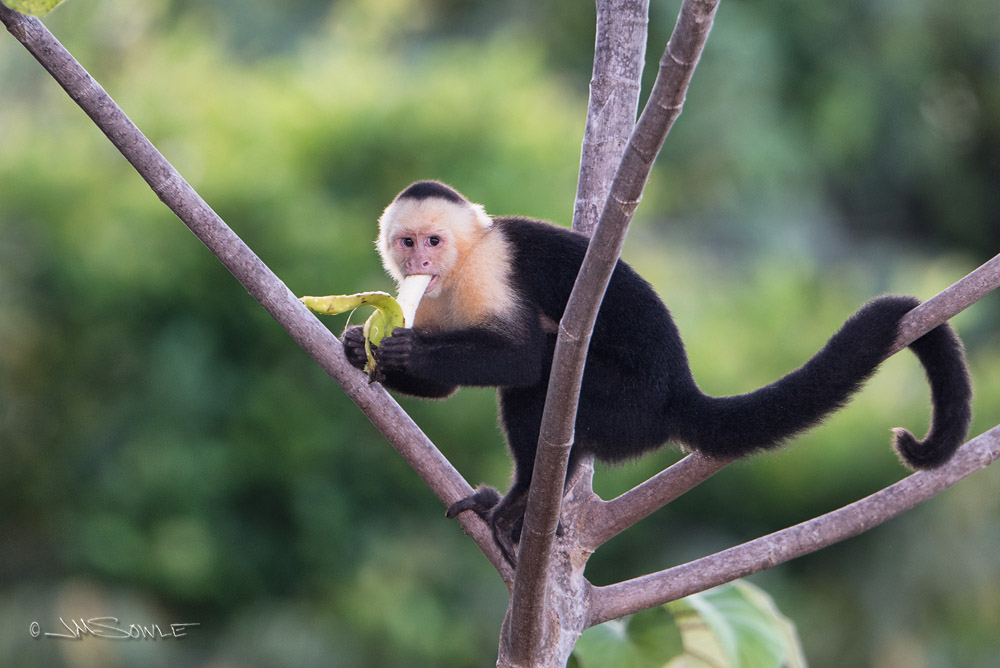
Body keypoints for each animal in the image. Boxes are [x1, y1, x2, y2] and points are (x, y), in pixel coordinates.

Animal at [342, 180, 973, 563]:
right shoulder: (428, 295)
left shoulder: (488, 272)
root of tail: (676, 392)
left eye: (434, 239)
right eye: (407, 242)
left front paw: (402, 352)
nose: (421, 259)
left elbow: (520, 356)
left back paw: (519, 505)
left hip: (627, 404)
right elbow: (448, 383)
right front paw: (356, 348)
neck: (458, 268)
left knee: (541, 381)